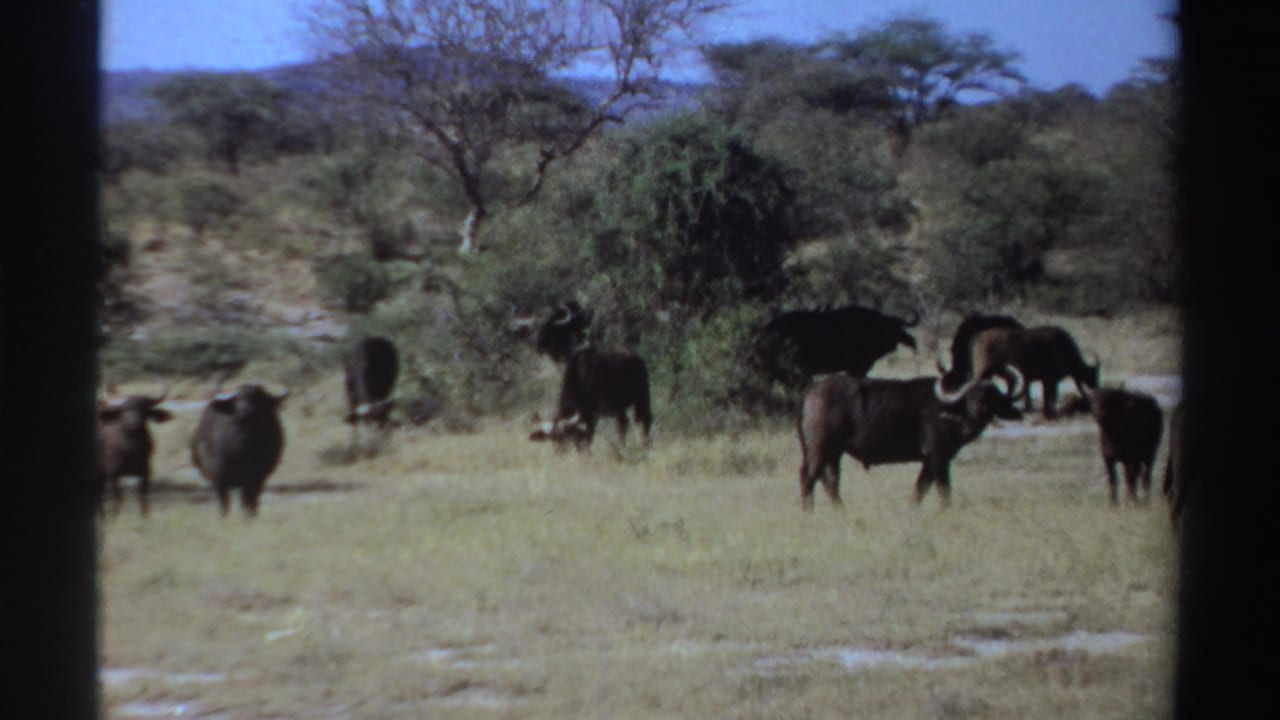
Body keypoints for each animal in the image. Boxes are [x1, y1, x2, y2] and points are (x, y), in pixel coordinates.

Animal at [191, 383, 288, 517]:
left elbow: (249, 503)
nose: (245, 411)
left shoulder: (256, 479)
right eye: (238, 398)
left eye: (258, 398)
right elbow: (224, 504)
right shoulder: (219, 479)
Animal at [797, 368, 1023, 510]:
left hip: (833, 453)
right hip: (821, 449)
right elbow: (944, 492)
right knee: (809, 477)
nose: (980, 409)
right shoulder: (939, 459)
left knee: (830, 482)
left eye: (992, 396)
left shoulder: (929, 462)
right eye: (970, 396)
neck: (952, 413)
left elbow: (920, 490)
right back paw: (808, 512)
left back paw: (840, 510)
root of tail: (812, 392)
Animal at [943, 324, 1099, 420]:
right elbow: (1050, 397)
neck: (1065, 349)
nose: (1096, 387)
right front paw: (1051, 415)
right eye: (1094, 375)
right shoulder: (1050, 380)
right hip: (983, 370)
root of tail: (978, 336)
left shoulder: (1045, 381)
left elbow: (1047, 398)